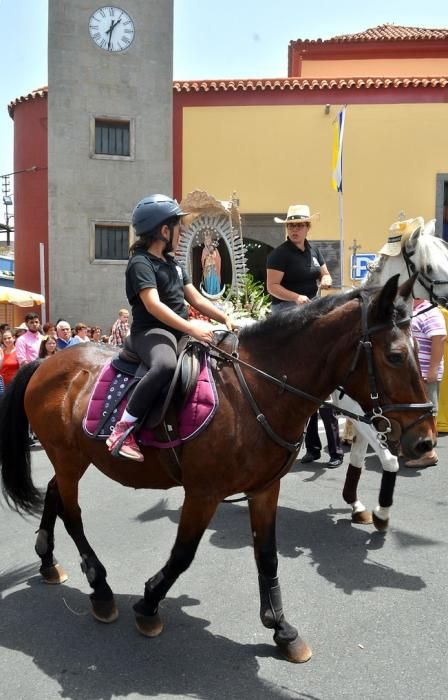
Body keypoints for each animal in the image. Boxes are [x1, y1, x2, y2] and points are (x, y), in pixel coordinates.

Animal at [0, 274, 434, 660]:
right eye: (395, 356)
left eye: (418, 348)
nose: (425, 440)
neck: (256, 391)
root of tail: (48, 362)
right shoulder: (203, 493)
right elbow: (182, 554)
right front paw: (149, 603)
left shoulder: (264, 489)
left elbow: (267, 555)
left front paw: (281, 628)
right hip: (68, 457)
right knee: (72, 513)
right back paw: (101, 589)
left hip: (72, 459)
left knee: (54, 494)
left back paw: (48, 561)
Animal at [332, 220, 448, 532]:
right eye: (430, 266)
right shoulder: (362, 413)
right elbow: (389, 460)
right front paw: (381, 513)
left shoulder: (367, 415)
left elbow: (359, 457)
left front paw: (355, 504)